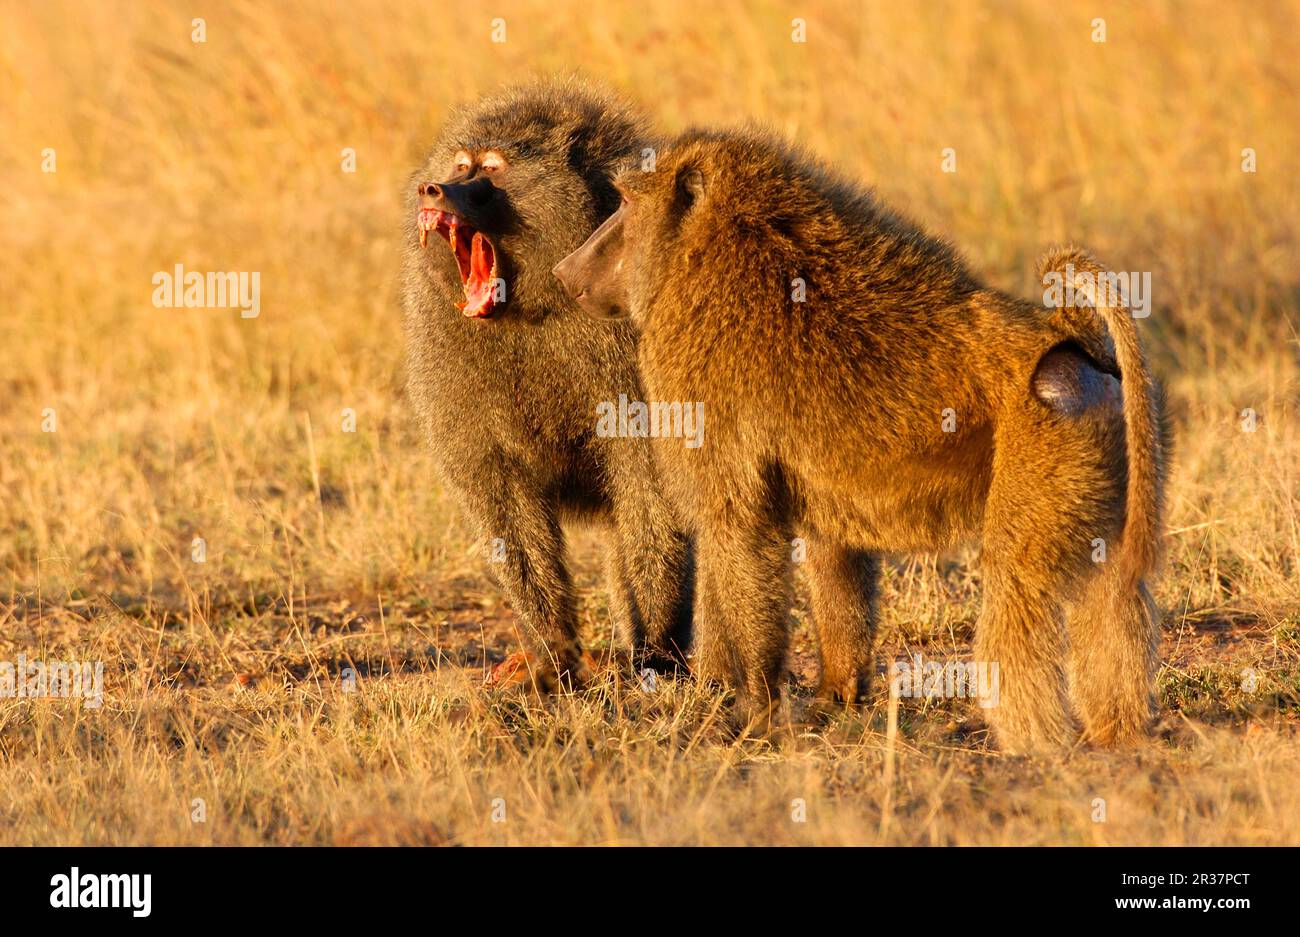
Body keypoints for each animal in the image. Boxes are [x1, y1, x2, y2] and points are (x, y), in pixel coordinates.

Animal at [400, 78, 693, 691]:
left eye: (492, 168)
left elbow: (652, 492)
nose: (432, 188)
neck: (541, 301)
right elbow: (503, 497)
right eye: (460, 163)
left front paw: (658, 653)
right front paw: (551, 654)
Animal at [553, 127, 1169, 752]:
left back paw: (1038, 746)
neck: (701, 254)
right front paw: (829, 698)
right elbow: (830, 548)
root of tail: (1067, 334)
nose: (564, 270)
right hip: (1100, 450)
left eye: (625, 203)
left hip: (1043, 447)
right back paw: (1116, 734)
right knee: (1109, 589)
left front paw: (749, 710)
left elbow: (739, 531)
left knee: (1018, 591)